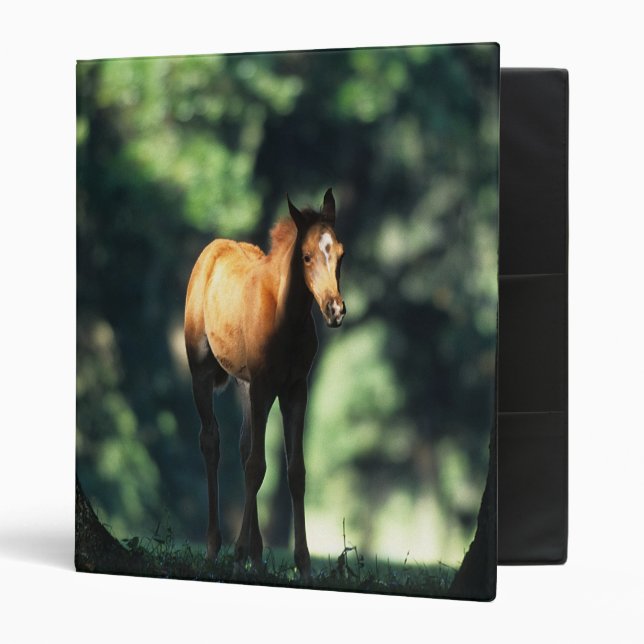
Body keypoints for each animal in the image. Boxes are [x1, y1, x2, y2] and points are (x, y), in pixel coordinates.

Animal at [184, 188, 346, 580]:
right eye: (306, 256)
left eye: (341, 253)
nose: (335, 310)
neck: (287, 319)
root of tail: (212, 249)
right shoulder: (263, 386)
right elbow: (258, 466)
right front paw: (238, 553)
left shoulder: (295, 389)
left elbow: (294, 470)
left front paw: (303, 564)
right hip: (202, 373)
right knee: (212, 442)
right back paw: (215, 548)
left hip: (245, 385)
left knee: (244, 448)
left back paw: (256, 557)